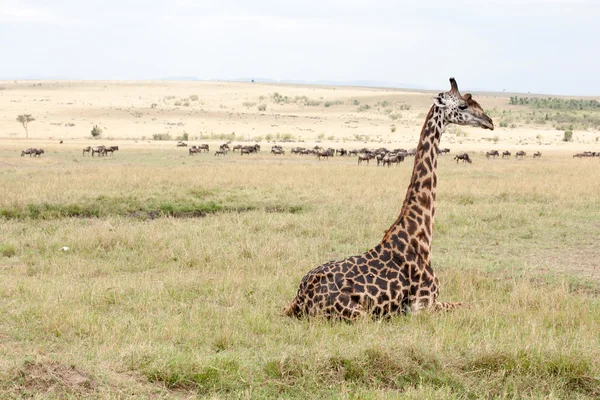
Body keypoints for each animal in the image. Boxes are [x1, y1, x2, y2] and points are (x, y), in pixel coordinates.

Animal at [284, 79, 494, 322]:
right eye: (462, 106)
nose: (489, 122)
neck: (420, 238)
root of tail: (301, 297)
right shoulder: (422, 307)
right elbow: (472, 305)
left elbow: (473, 304)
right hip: (359, 316)